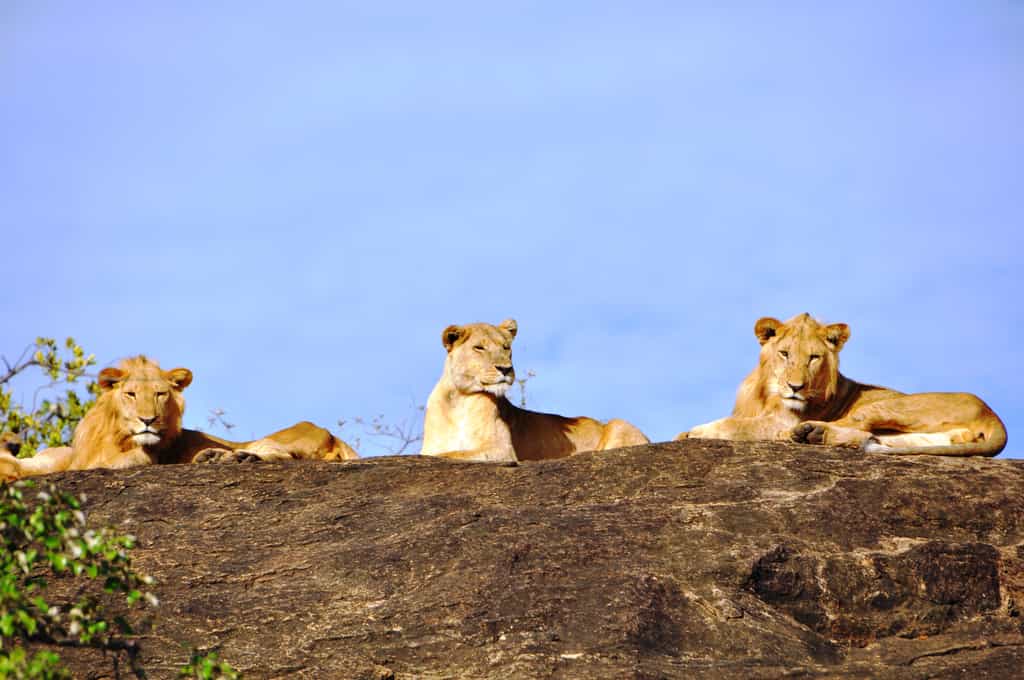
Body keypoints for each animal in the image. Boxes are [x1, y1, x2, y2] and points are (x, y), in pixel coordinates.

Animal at [0, 355, 357, 481]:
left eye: (161, 394)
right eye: (131, 394)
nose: (148, 421)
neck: (114, 436)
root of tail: (333, 436)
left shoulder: (145, 460)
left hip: (287, 434)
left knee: (279, 454)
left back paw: (232, 458)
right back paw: (214, 457)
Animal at [420, 318, 650, 463]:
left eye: (506, 347)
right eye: (479, 348)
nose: (505, 369)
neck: (458, 399)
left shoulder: (502, 451)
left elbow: (449, 455)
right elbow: (437, 454)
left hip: (618, 424)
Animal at [678, 313, 1007, 456]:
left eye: (813, 358)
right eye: (784, 354)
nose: (795, 388)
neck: (766, 394)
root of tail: (993, 415)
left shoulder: (778, 419)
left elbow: (736, 426)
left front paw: (692, 433)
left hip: (892, 405)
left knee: (857, 427)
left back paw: (804, 434)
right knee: (872, 439)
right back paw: (813, 436)